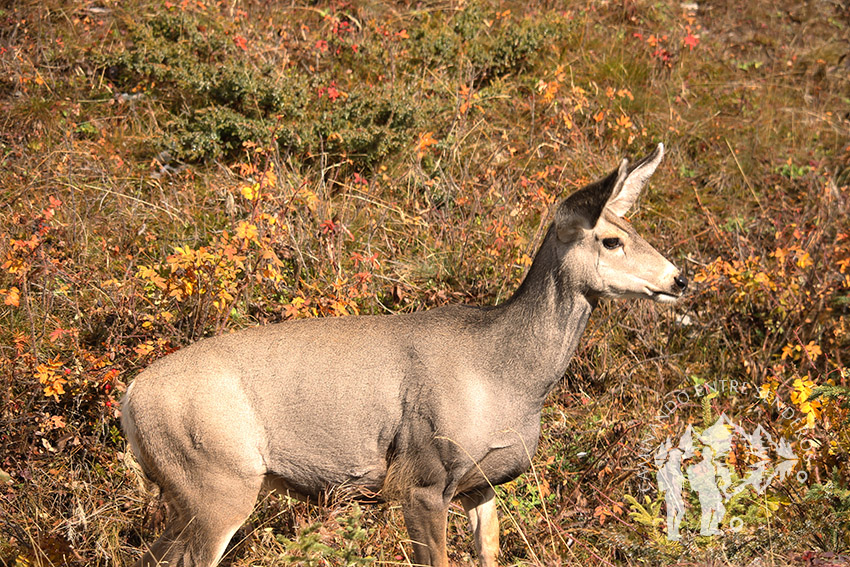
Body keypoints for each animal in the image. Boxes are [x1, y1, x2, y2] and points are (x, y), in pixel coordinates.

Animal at [122, 144, 684, 567]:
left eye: (637, 231)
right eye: (610, 240)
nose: (679, 279)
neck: (503, 375)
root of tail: (129, 400)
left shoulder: (480, 486)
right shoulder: (422, 476)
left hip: (190, 493)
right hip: (216, 480)